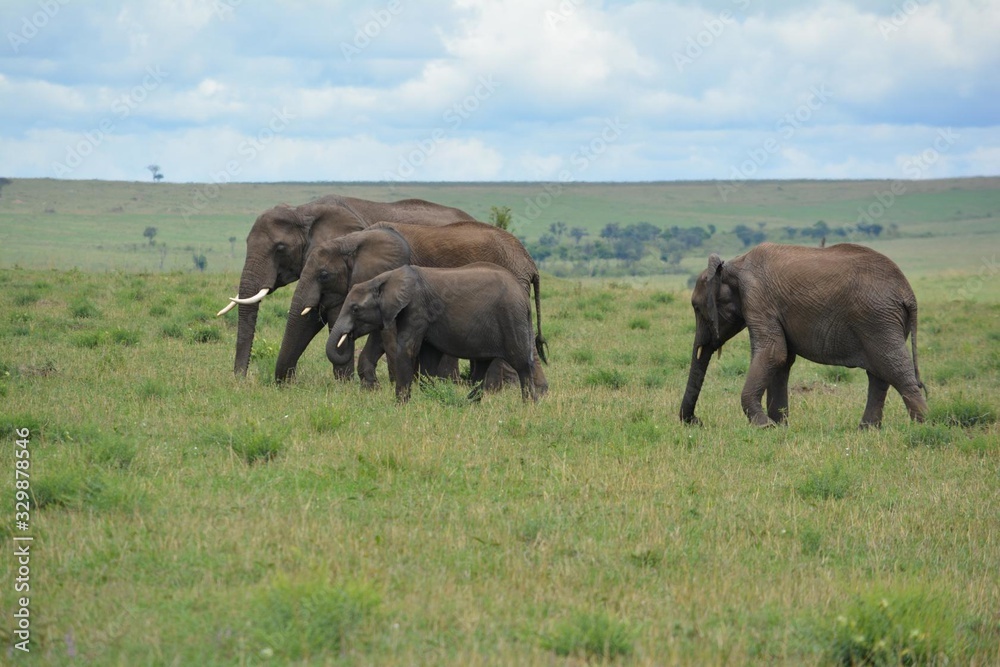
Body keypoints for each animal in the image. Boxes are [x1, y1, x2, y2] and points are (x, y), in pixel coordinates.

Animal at [216, 196, 472, 378]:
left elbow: (334, 315)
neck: (304, 211)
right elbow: (309, 316)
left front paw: (344, 387)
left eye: (280, 248)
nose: (241, 380)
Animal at [330, 264, 544, 402]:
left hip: (511, 318)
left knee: (522, 364)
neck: (384, 278)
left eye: (355, 309)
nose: (348, 336)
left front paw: (401, 404)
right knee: (483, 366)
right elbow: (428, 357)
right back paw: (468, 404)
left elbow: (407, 349)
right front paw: (429, 398)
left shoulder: (417, 309)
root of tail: (523, 295)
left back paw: (529, 405)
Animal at [680, 243, 928, 430]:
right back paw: (867, 430)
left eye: (697, 308)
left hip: (877, 320)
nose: (697, 421)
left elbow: (773, 353)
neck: (731, 266)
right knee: (879, 374)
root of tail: (909, 294)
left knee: (894, 370)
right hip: (881, 322)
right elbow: (782, 360)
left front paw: (764, 426)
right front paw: (779, 426)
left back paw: (923, 427)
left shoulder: (757, 297)